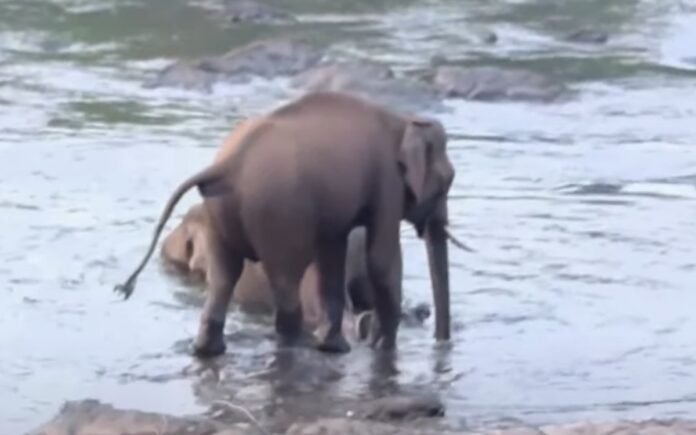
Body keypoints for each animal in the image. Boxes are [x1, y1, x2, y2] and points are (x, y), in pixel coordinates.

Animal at [113, 90, 460, 360]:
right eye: (448, 181)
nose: (443, 343)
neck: (405, 120)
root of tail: (228, 164)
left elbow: (333, 255)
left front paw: (343, 345)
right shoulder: (387, 182)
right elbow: (382, 258)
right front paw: (383, 348)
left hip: (221, 213)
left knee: (225, 276)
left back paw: (210, 351)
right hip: (278, 213)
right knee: (285, 279)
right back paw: (297, 345)